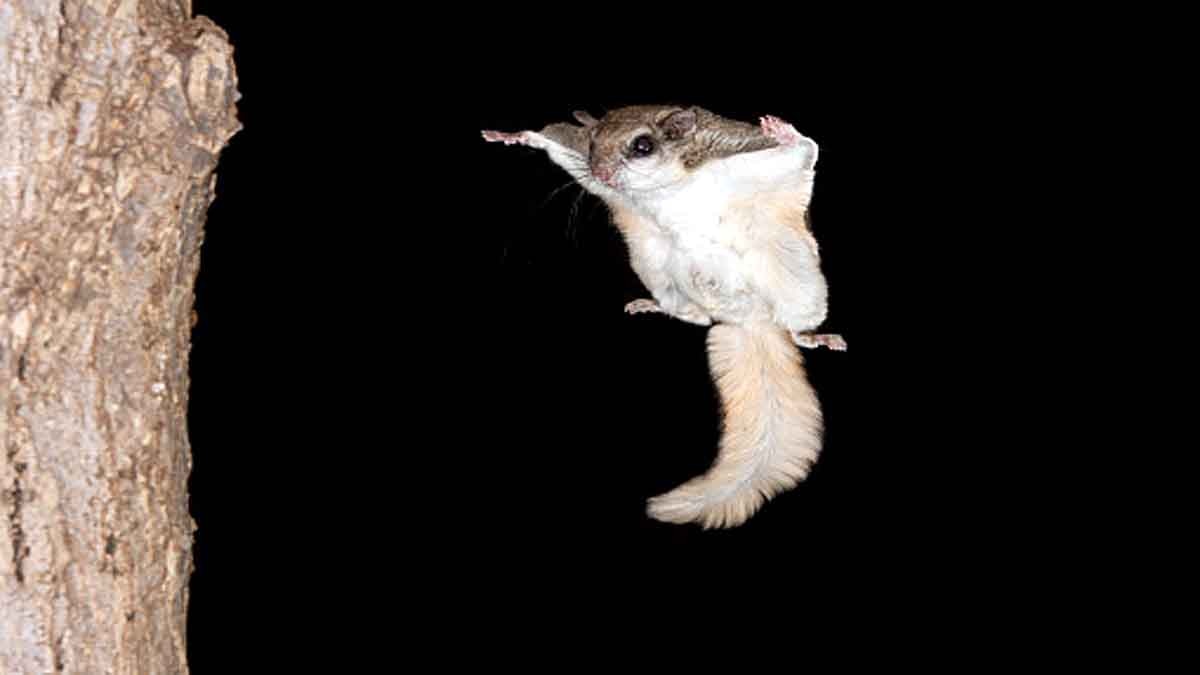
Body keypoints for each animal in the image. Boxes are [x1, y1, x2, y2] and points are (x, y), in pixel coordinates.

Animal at [483, 105, 845, 529]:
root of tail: (748, 322)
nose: (601, 173)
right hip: (657, 266)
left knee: (793, 323)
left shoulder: (747, 156)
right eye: (593, 142)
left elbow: (805, 151)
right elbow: (555, 141)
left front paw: (785, 131)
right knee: (696, 317)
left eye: (643, 146)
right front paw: (514, 135)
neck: (666, 187)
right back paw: (656, 306)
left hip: (797, 279)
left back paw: (813, 336)